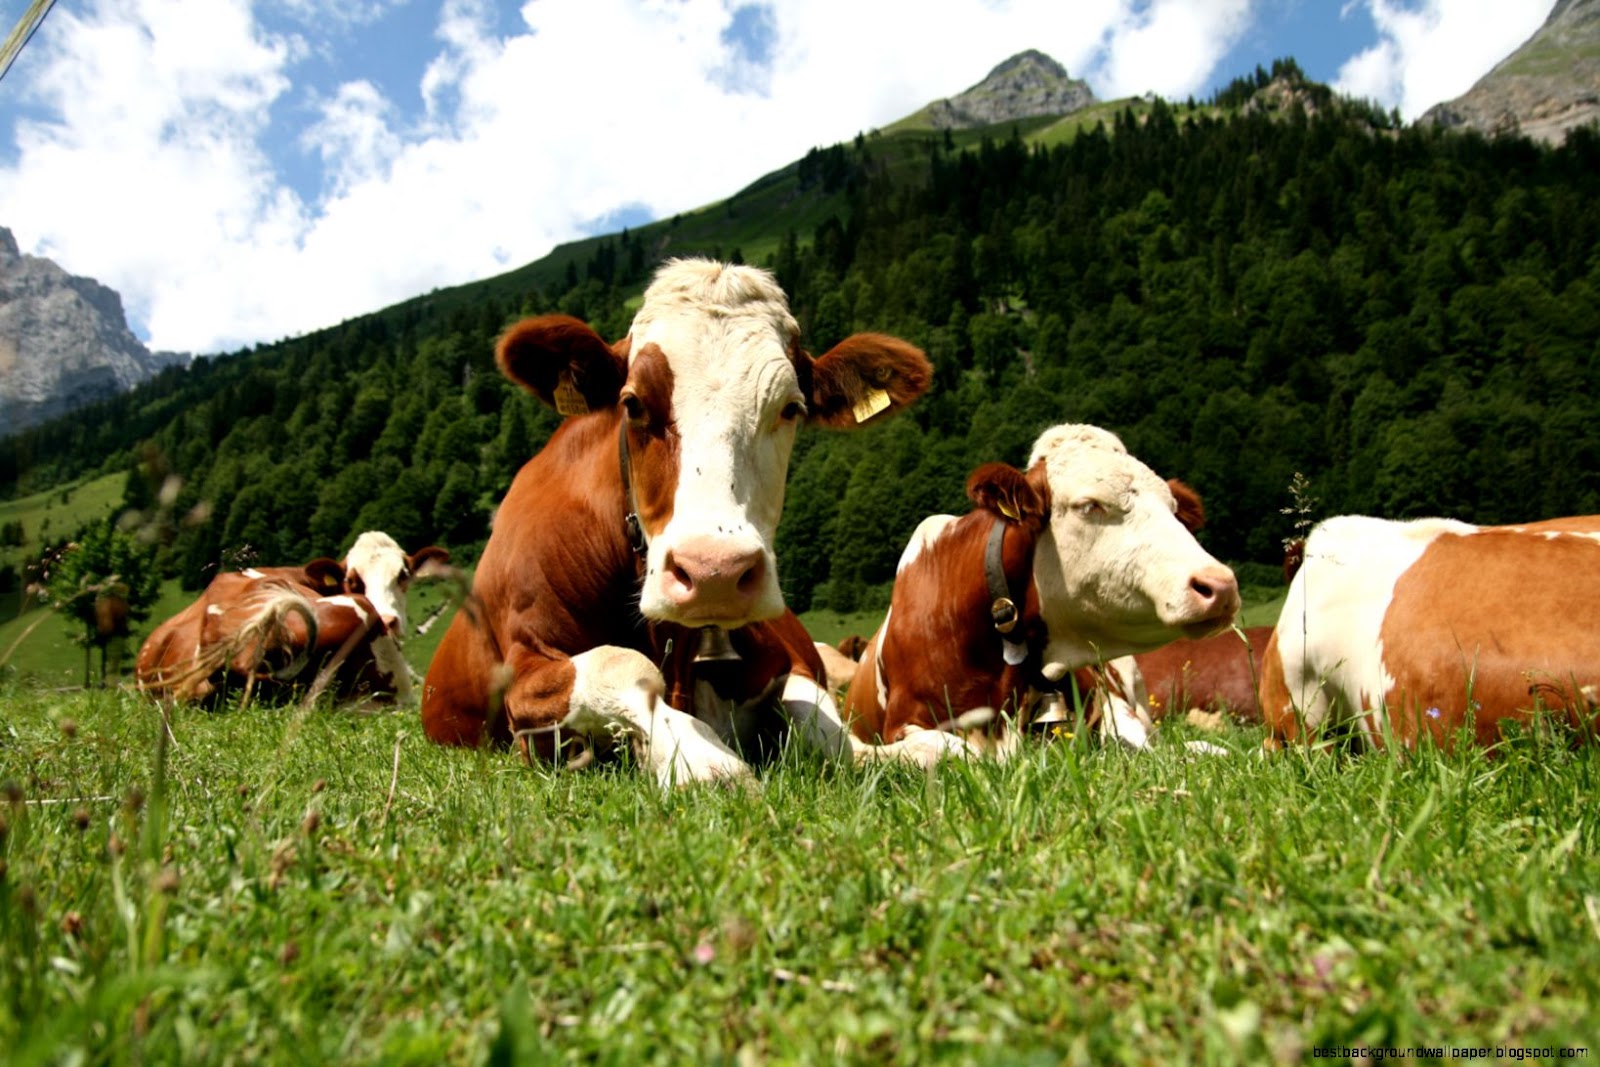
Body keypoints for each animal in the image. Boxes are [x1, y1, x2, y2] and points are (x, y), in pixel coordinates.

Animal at [419, 258, 932, 786]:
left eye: (791, 408)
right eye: (633, 403)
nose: (715, 573)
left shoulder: (786, 662)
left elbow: (825, 726)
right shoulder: (525, 679)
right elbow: (622, 665)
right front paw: (698, 758)